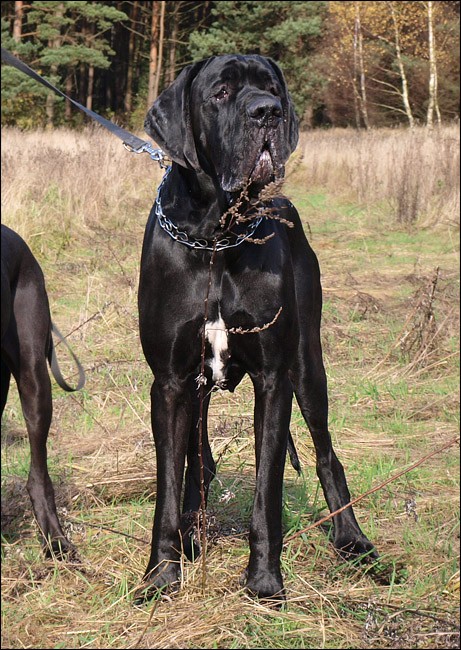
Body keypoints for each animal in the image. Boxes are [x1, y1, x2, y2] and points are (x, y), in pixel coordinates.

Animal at [137, 54, 377, 603]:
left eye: (271, 89)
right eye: (221, 92)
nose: (267, 113)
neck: (216, 238)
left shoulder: (274, 379)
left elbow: (267, 490)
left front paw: (265, 581)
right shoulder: (171, 383)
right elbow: (168, 483)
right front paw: (161, 574)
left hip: (309, 367)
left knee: (328, 455)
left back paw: (352, 540)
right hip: (200, 389)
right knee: (198, 462)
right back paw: (192, 534)